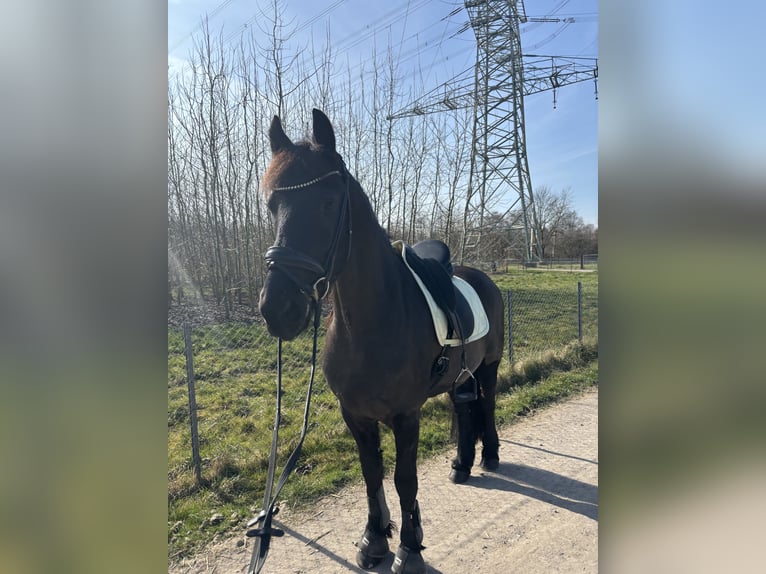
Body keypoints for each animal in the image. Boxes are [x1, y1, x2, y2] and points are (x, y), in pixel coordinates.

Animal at [259, 109, 504, 574]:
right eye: (271, 205)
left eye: (329, 203)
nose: (276, 309)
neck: (370, 325)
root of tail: (481, 275)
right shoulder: (355, 414)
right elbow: (371, 473)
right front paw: (374, 539)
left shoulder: (406, 415)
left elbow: (404, 479)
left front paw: (409, 548)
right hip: (460, 376)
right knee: (466, 411)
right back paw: (462, 464)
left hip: (489, 367)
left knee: (487, 405)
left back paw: (491, 456)